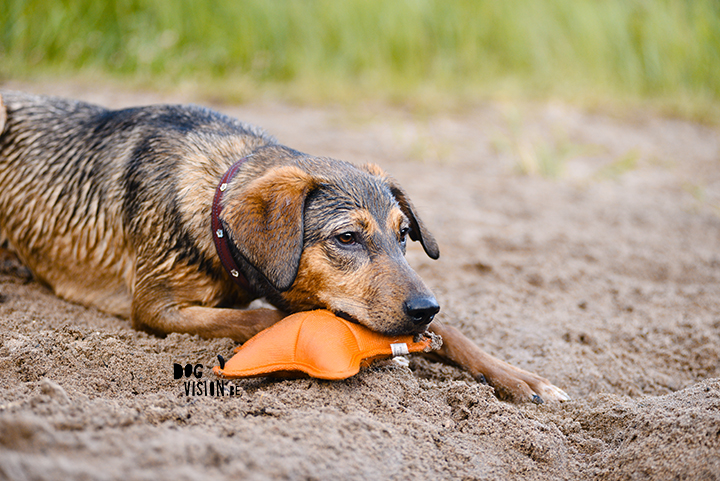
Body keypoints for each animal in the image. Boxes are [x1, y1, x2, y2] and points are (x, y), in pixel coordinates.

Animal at [0, 90, 572, 402]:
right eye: (346, 238)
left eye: (404, 235)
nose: (425, 307)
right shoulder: (155, 309)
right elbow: (265, 319)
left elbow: (450, 334)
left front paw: (522, 378)